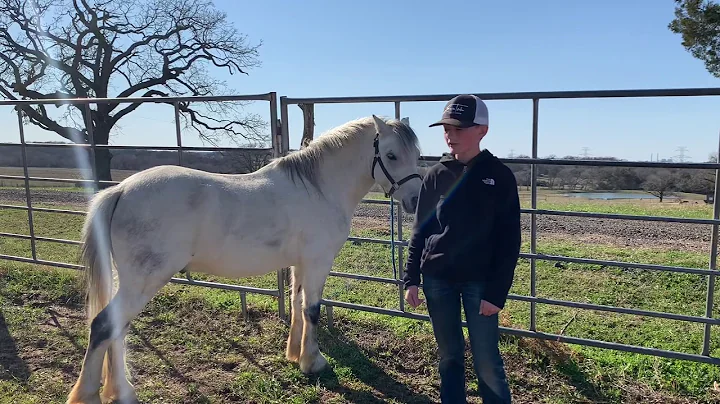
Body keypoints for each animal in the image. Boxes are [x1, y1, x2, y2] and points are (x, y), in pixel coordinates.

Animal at [66, 115, 422, 402]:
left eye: (417, 155)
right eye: (391, 155)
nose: (416, 201)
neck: (319, 188)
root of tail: (121, 190)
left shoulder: (299, 263)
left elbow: (296, 304)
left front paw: (295, 355)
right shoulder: (318, 262)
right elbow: (312, 310)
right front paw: (314, 362)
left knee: (117, 328)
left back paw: (120, 390)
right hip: (143, 280)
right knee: (103, 326)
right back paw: (90, 394)